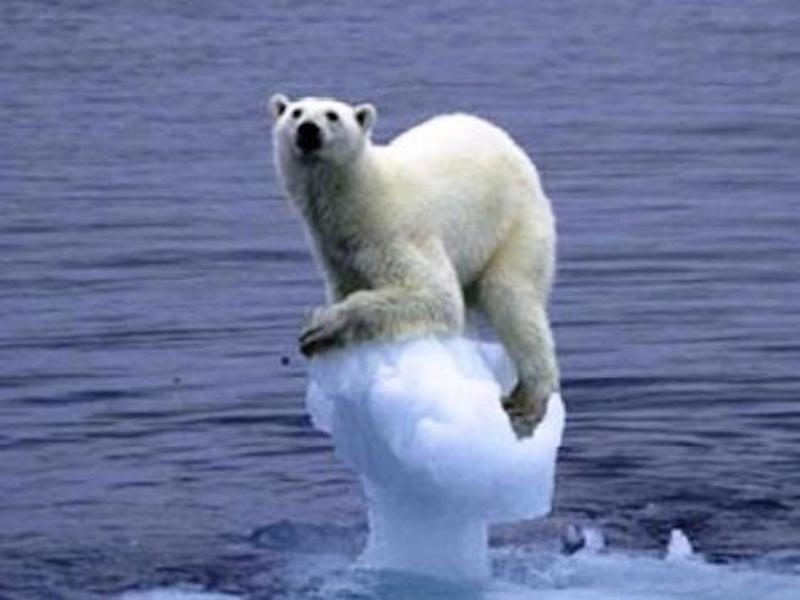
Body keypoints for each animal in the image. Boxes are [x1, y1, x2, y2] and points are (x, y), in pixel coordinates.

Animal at [269, 94, 559, 434]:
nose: (308, 130)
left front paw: (321, 326)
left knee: (512, 298)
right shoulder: (336, 252)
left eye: (332, 115)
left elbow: (435, 295)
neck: (358, 197)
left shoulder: (394, 232)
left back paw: (528, 399)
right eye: (295, 112)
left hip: (515, 223)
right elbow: (351, 285)